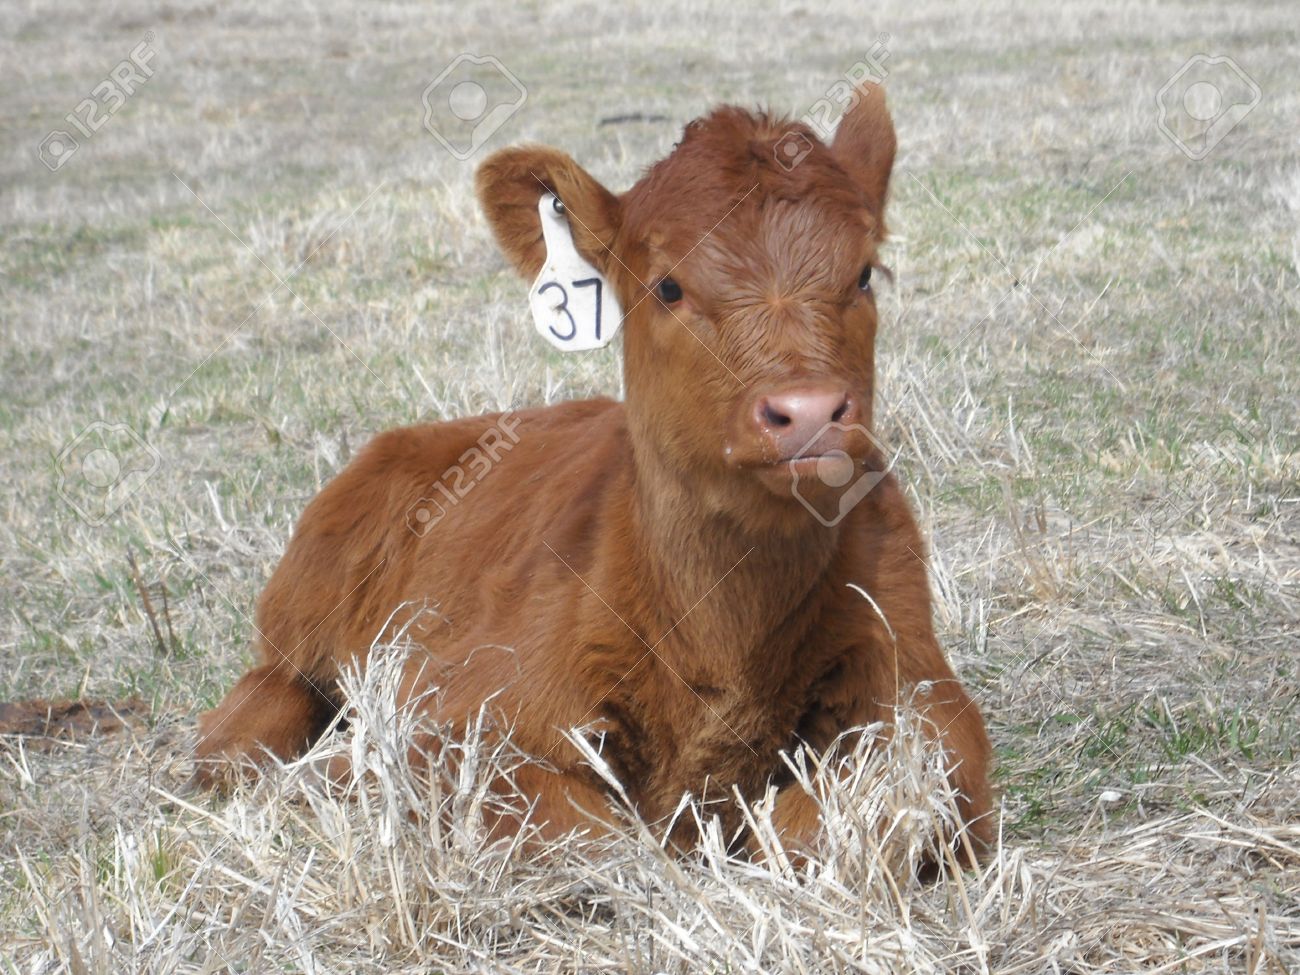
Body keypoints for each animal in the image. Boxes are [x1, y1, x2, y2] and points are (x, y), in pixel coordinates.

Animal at [194, 83, 994, 862]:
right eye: (667, 287)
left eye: (863, 274)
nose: (807, 411)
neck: (724, 632)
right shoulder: (462, 715)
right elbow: (589, 835)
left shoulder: (931, 699)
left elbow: (852, 805)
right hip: (305, 609)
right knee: (250, 711)